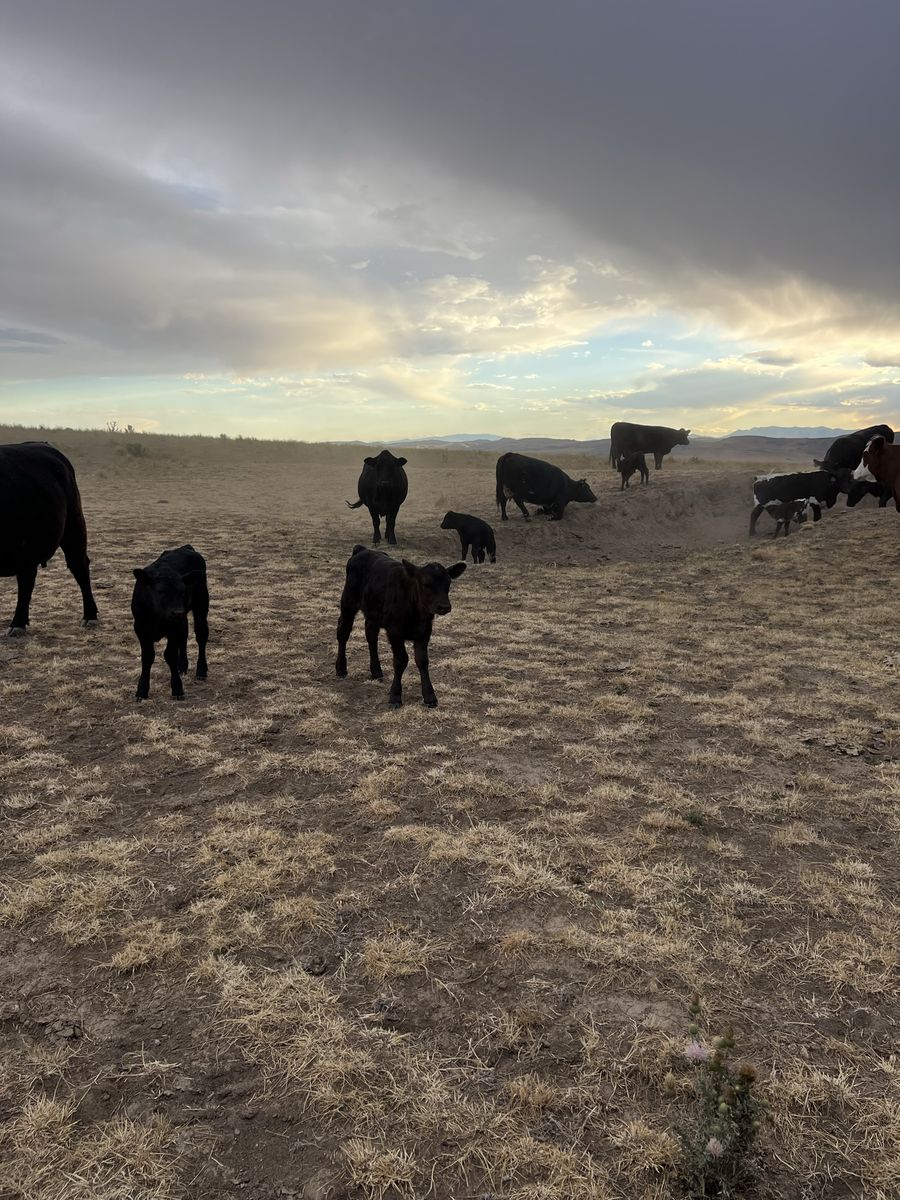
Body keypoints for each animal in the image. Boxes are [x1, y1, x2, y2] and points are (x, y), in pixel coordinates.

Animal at [131, 545, 209, 701]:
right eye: (161, 592)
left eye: (183, 592)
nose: (177, 612)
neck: (157, 617)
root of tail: (186, 547)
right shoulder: (140, 629)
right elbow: (147, 656)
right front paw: (142, 690)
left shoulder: (173, 628)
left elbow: (170, 655)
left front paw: (177, 688)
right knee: (184, 635)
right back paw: (182, 666)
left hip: (201, 604)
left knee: (201, 635)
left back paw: (201, 670)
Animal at [336, 545, 465, 708]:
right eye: (426, 584)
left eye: (448, 584)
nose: (444, 607)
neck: (416, 614)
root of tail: (362, 549)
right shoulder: (394, 632)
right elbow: (401, 660)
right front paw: (395, 696)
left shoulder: (424, 632)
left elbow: (423, 660)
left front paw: (429, 696)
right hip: (348, 602)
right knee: (343, 632)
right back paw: (341, 668)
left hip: (373, 613)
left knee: (371, 636)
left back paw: (376, 671)